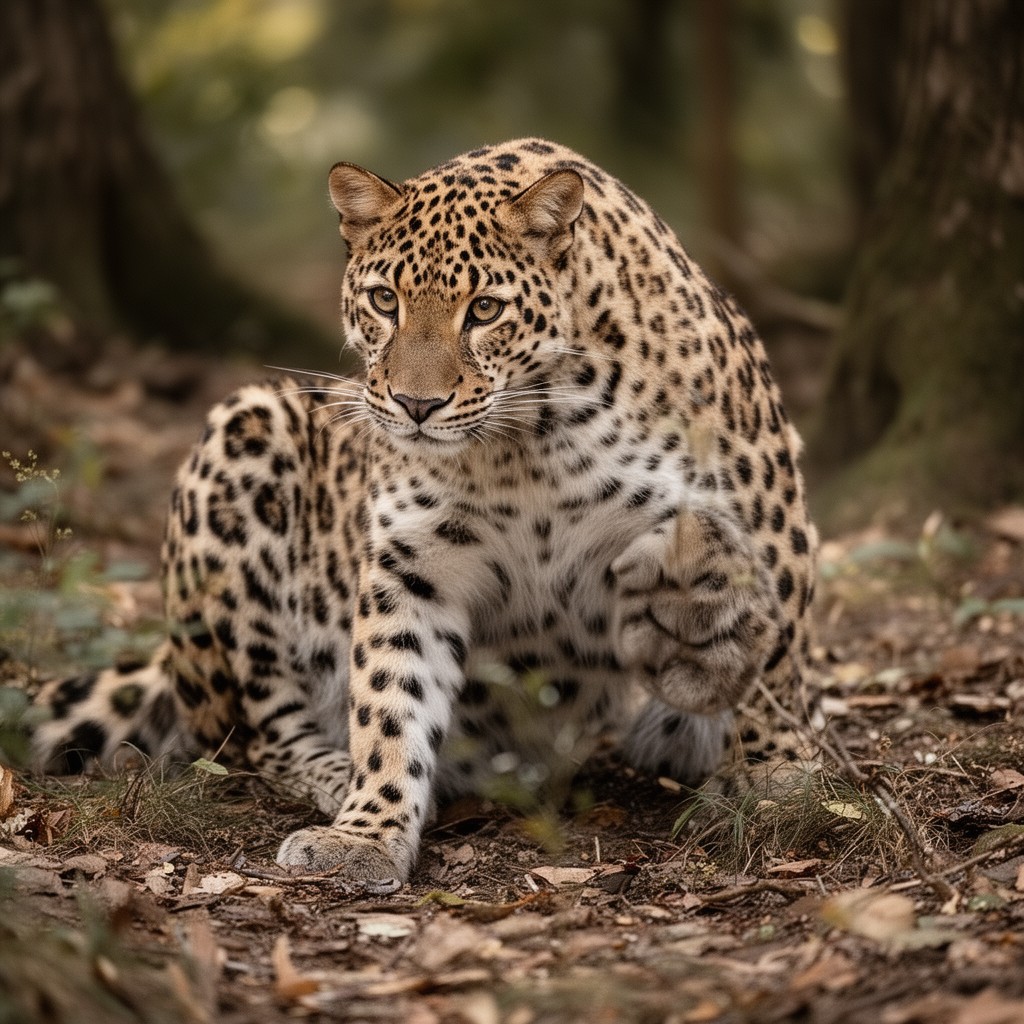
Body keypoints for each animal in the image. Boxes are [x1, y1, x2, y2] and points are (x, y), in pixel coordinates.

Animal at [28, 138, 820, 885]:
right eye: (385, 302)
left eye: (485, 310)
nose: (415, 405)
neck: (530, 442)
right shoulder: (412, 566)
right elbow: (388, 697)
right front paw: (367, 834)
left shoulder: (764, 515)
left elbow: (776, 651)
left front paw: (777, 775)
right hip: (244, 434)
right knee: (252, 730)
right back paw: (334, 775)